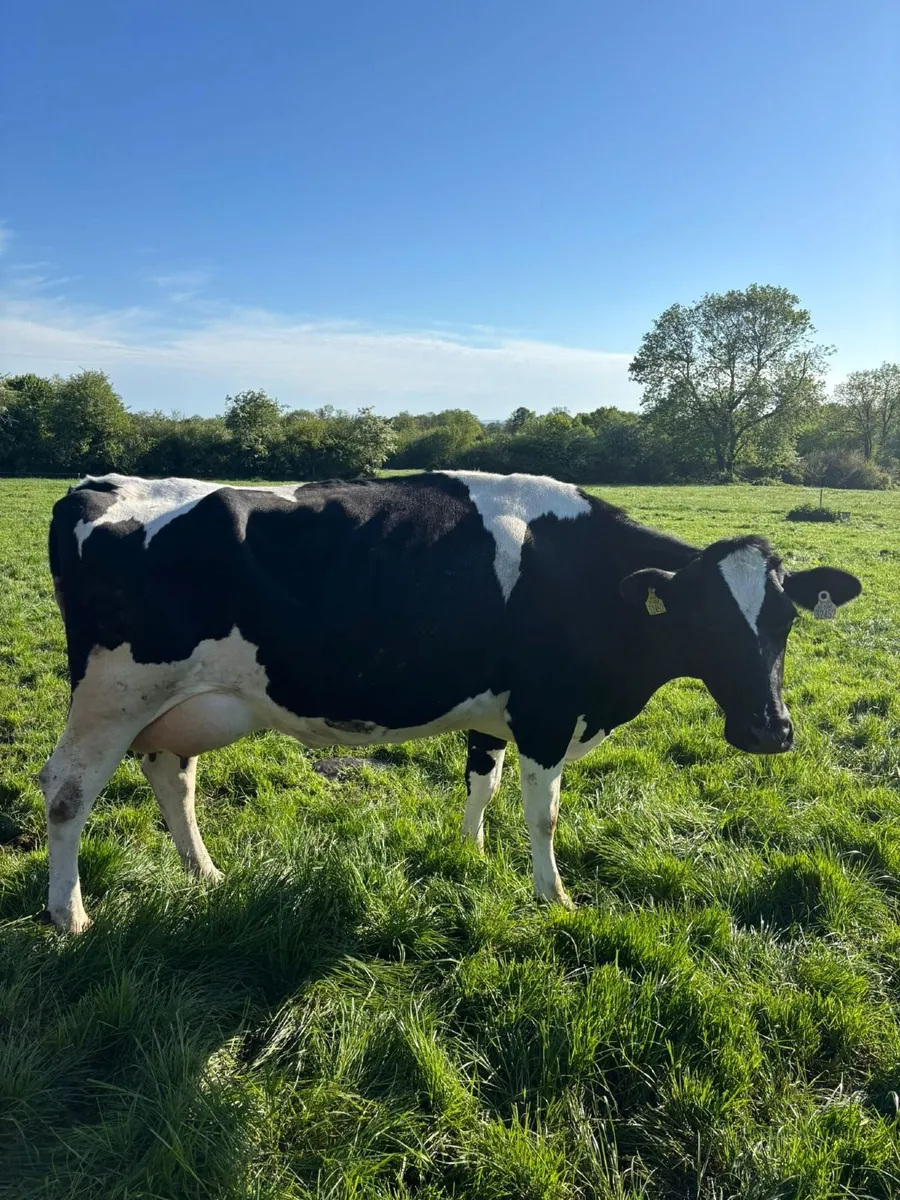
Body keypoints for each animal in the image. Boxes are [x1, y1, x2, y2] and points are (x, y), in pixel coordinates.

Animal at [39, 471, 861, 934]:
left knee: (171, 776)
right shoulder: (546, 714)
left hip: (170, 704)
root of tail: (96, 485)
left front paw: (469, 854)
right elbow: (544, 814)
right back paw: (69, 914)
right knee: (67, 790)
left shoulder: (496, 715)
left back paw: (205, 874)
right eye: (705, 621)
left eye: (784, 619)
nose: (770, 730)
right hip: (114, 693)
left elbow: (481, 784)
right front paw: (555, 898)